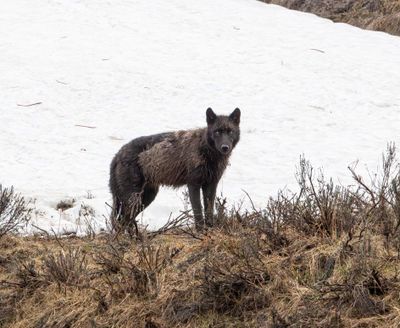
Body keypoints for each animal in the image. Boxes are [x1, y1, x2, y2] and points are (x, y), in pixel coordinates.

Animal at [108, 106, 241, 232]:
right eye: (217, 132)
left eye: (230, 131)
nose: (225, 147)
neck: (205, 150)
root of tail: (117, 155)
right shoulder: (193, 185)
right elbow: (198, 211)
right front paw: (200, 233)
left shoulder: (211, 185)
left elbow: (209, 210)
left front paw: (210, 231)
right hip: (134, 199)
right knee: (124, 220)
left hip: (147, 197)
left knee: (124, 221)